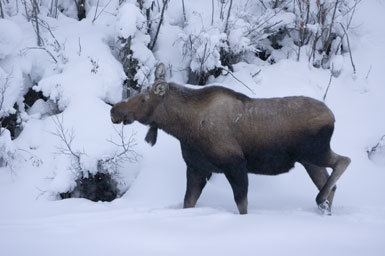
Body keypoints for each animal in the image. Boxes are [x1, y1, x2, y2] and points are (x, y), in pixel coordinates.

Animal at [109, 63, 350, 215]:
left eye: (143, 99)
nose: (115, 110)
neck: (184, 127)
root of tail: (332, 116)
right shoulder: (197, 167)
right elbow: (188, 202)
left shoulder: (235, 164)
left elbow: (242, 204)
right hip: (309, 161)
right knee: (331, 183)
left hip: (315, 151)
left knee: (344, 161)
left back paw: (320, 199)